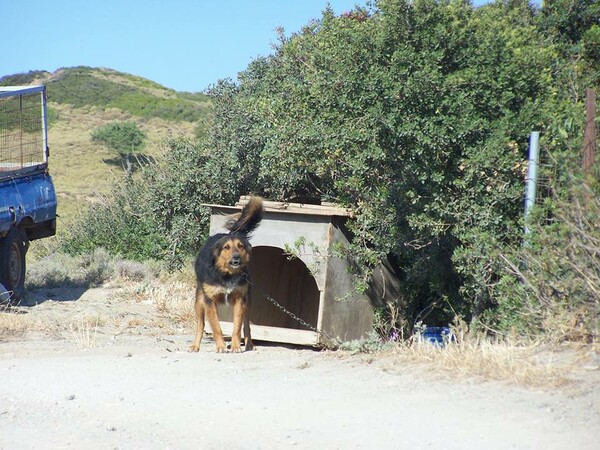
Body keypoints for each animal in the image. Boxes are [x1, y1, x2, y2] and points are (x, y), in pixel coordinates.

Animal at [188, 195, 262, 354]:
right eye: (226, 247)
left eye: (240, 246)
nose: (236, 258)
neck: (227, 274)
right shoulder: (209, 301)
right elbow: (216, 327)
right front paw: (221, 346)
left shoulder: (239, 299)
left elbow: (237, 327)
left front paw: (235, 346)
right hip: (199, 301)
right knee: (200, 325)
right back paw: (195, 345)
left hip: (248, 302)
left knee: (247, 326)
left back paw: (249, 345)